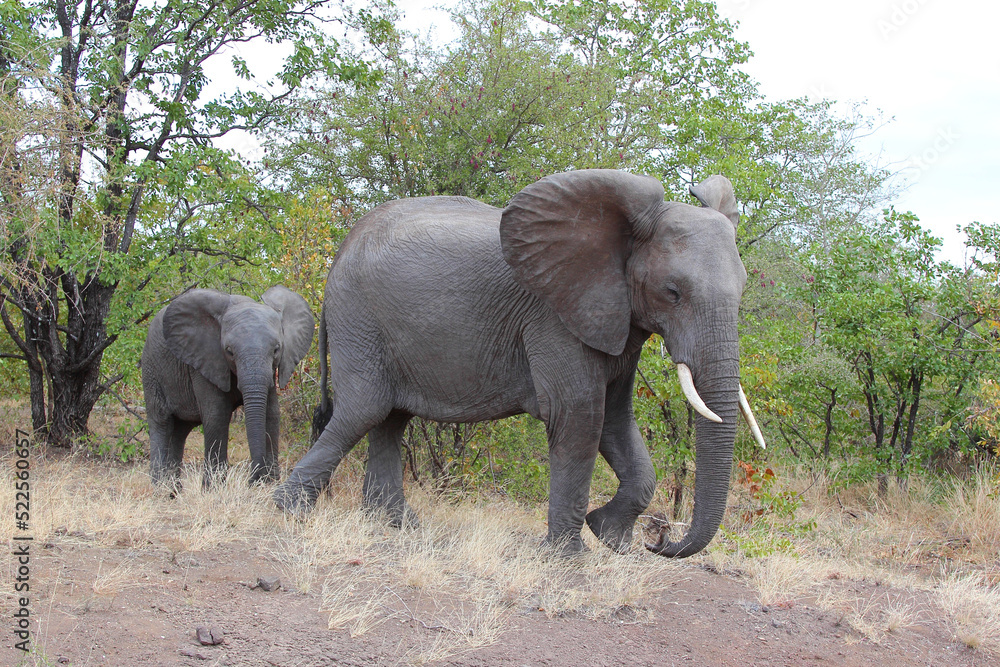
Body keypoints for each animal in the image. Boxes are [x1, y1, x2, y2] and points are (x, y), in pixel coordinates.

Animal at [142, 286, 315, 488]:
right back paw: (160, 489)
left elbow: (271, 413)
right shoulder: (205, 360)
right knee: (161, 422)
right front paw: (214, 490)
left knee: (180, 430)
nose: (252, 479)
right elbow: (217, 415)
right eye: (229, 351)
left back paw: (173, 490)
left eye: (276, 350)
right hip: (151, 368)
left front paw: (269, 486)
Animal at [274, 169, 765, 557]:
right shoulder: (554, 317)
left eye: (744, 288)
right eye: (672, 292)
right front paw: (569, 558)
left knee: (390, 419)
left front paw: (610, 538)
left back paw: (396, 525)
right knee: (363, 410)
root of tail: (339, 253)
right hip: (359, 319)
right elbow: (580, 416)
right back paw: (287, 510)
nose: (660, 540)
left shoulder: (616, 319)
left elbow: (615, 420)